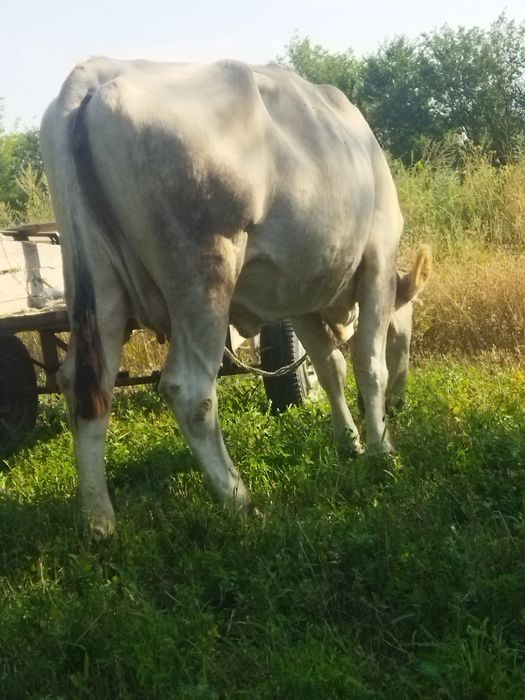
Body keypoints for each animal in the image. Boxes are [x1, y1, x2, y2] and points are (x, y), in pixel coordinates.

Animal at [40, 58, 431, 536]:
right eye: (406, 333)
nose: (401, 404)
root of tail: (92, 76)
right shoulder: (377, 259)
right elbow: (368, 364)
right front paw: (382, 449)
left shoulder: (297, 293)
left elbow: (329, 367)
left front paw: (349, 442)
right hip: (203, 272)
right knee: (188, 388)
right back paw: (238, 499)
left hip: (98, 284)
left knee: (85, 387)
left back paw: (98, 520)